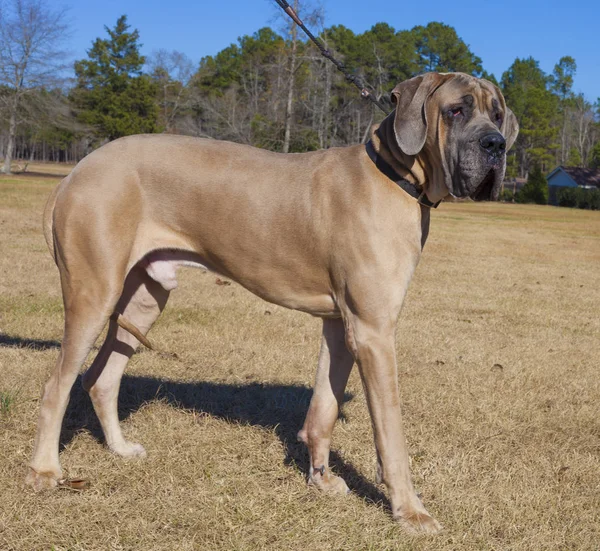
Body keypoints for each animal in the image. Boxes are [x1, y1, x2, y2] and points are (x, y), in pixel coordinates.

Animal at [25, 72, 516, 536]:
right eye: (456, 110)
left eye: (497, 113)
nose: (495, 144)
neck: (393, 176)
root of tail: (77, 171)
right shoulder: (374, 333)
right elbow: (391, 434)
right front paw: (410, 510)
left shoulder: (340, 326)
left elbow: (324, 408)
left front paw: (320, 479)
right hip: (93, 292)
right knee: (56, 387)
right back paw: (46, 470)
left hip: (145, 296)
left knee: (101, 378)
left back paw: (120, 448)